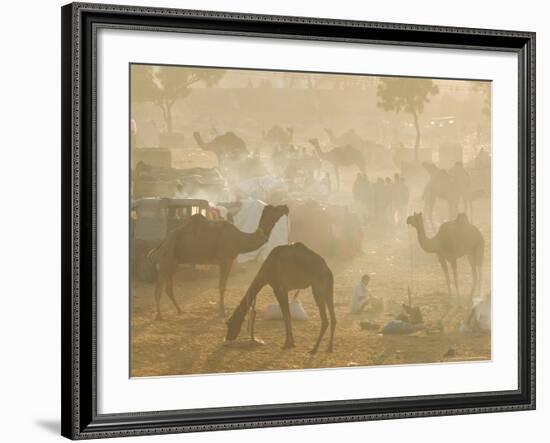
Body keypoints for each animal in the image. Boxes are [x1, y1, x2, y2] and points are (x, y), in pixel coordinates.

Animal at [151, 205, 288, 320]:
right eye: (276, 208)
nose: (286, 207)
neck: (239, 239)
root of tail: (162, 242)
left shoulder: (226, 261)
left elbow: (222, 286)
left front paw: (222, 310)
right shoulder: (226, 260)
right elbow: (222, 286)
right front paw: (222, 311)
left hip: (174, 263)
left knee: (168, 288)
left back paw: (179, 310)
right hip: (166, 260)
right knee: (158, 289)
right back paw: (159, 315)